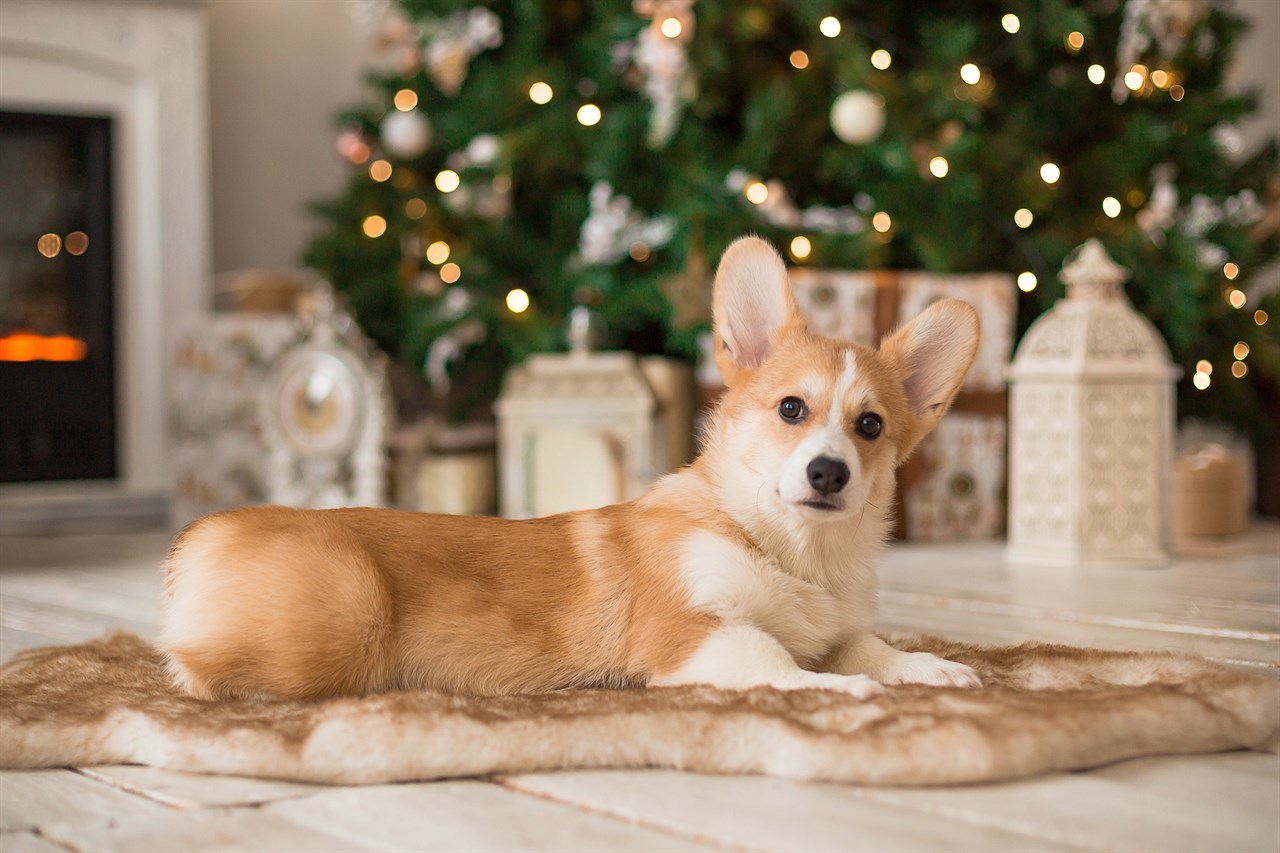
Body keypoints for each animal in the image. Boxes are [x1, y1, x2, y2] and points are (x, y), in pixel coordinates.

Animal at [160, 234, 977, 696]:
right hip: (346, 624)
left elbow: (873, 646)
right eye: (791, 409)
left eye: (870, 426)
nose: (828, 474)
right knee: (196, 665)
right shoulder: (692, 632)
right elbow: (783, 663)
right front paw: (846, 692)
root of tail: (200, 538)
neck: (791, 550)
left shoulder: (836, 627)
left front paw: (934, 672)